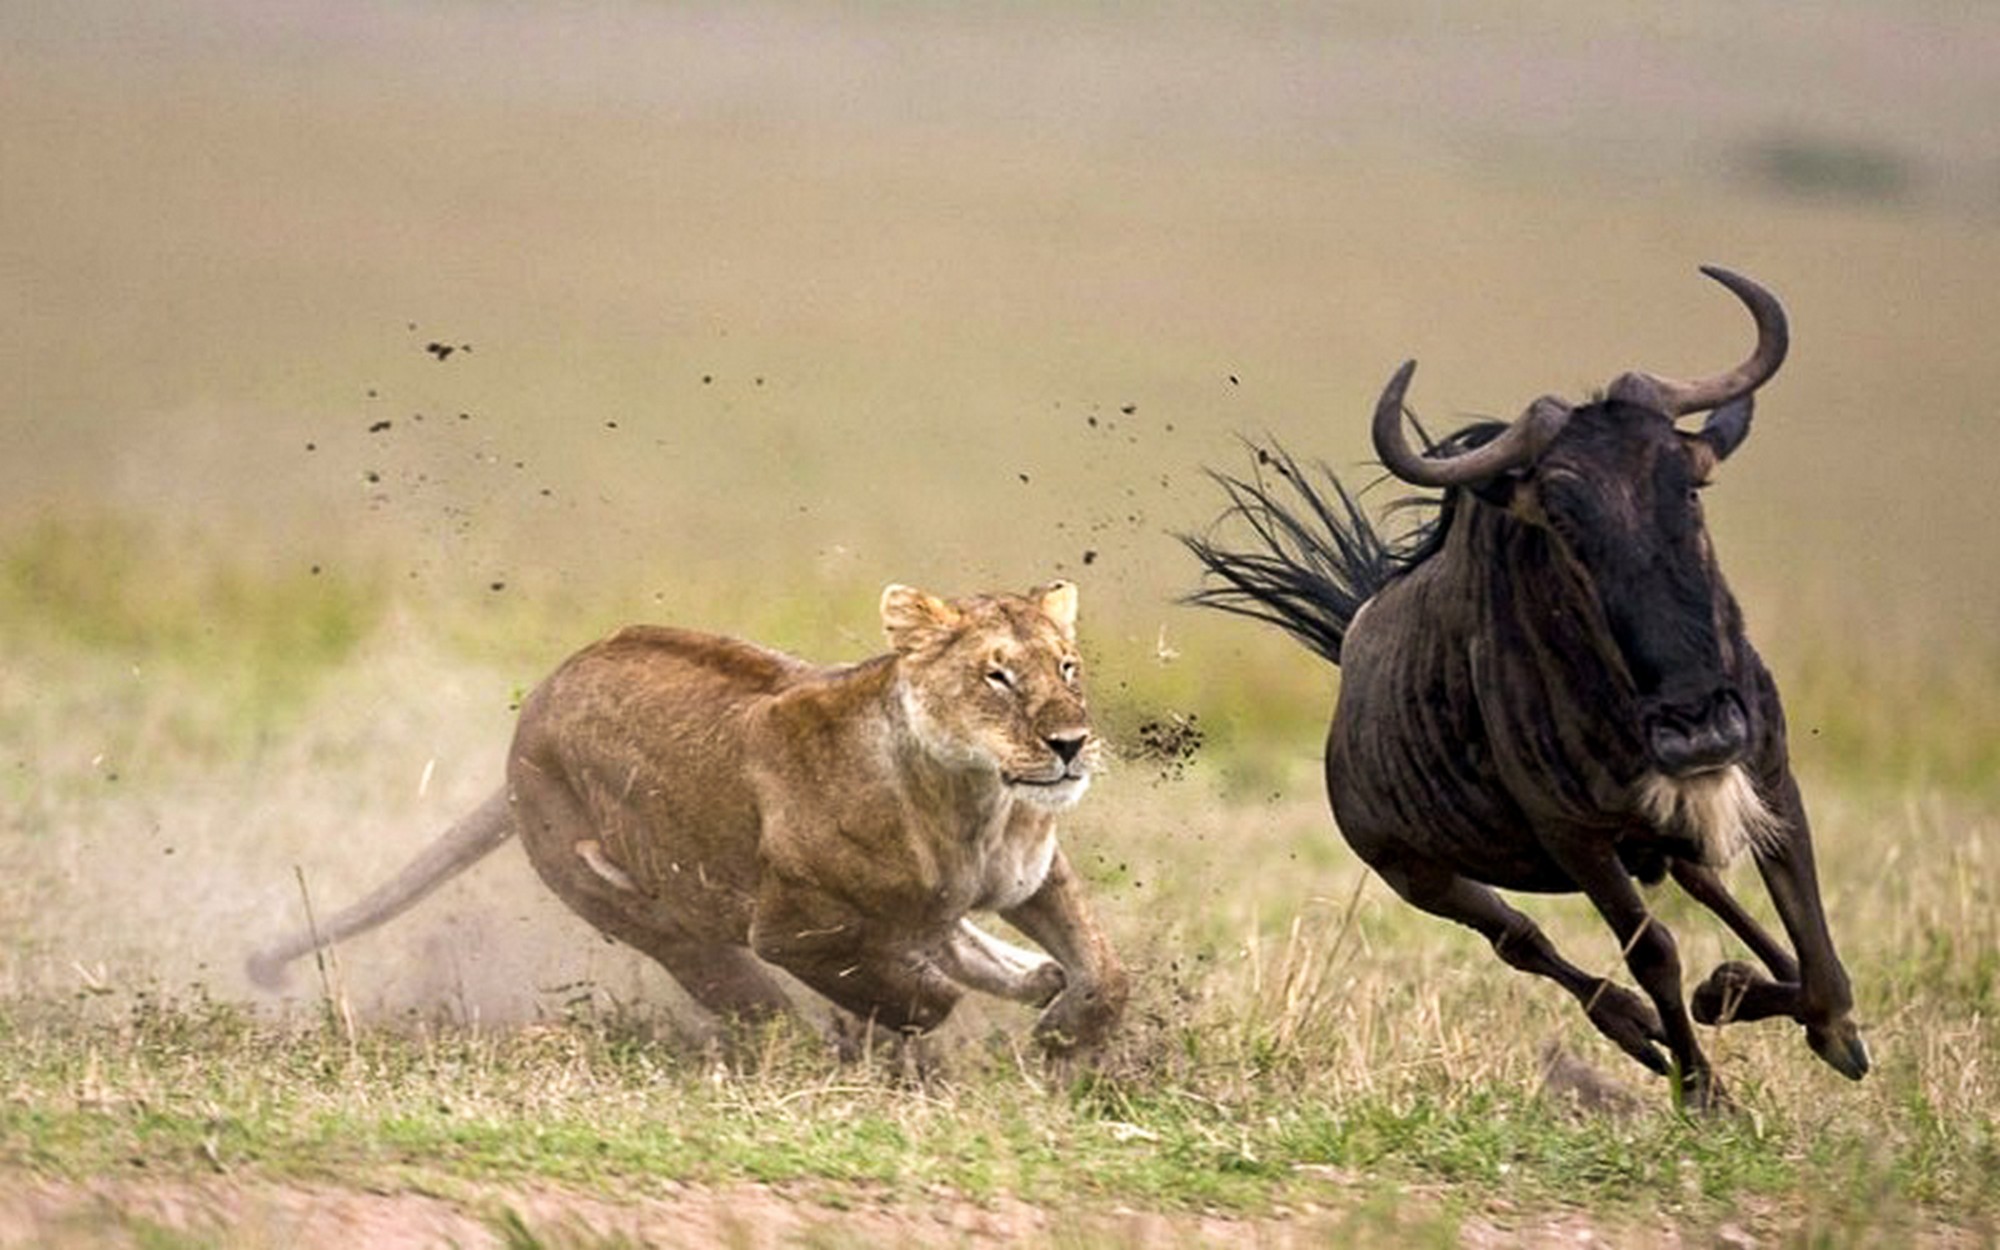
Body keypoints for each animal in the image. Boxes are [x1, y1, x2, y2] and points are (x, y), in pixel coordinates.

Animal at [247, 581, 1129, 1053]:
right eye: (997, 677)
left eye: (1067, 667)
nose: (1069, 744)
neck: (974, 803)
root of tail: (524, 730)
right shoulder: (793, 929)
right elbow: (919, 998)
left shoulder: (1033, 875)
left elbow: (1106, 970)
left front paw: (1063, 1032)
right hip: (646, 909)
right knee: (747, 994)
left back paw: (1030, 976)